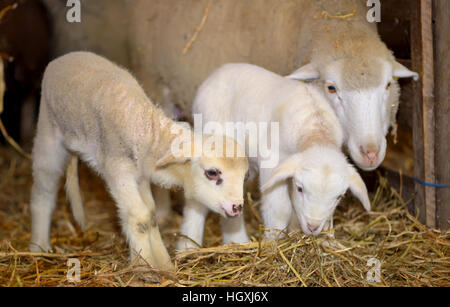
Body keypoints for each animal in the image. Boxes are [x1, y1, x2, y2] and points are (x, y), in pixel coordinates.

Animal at [30, 53, 250, 272]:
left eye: (244, 176)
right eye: (212, 173)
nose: (237, 207)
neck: (144, 125)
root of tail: (65, 57)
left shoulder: (141, 174)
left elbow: (151, 215)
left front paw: (164, 264)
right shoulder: (118, 170)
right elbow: (139, 217)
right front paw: (144, 265)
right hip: (48, 134)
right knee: (43, 190)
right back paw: (38, 246)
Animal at [192, 63, 370, 241]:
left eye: (339, 197)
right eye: (300, 189)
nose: (312, 227)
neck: (316, 129)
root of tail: (218, 72)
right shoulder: (272, 160)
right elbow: (280, 208)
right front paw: (273, 238)